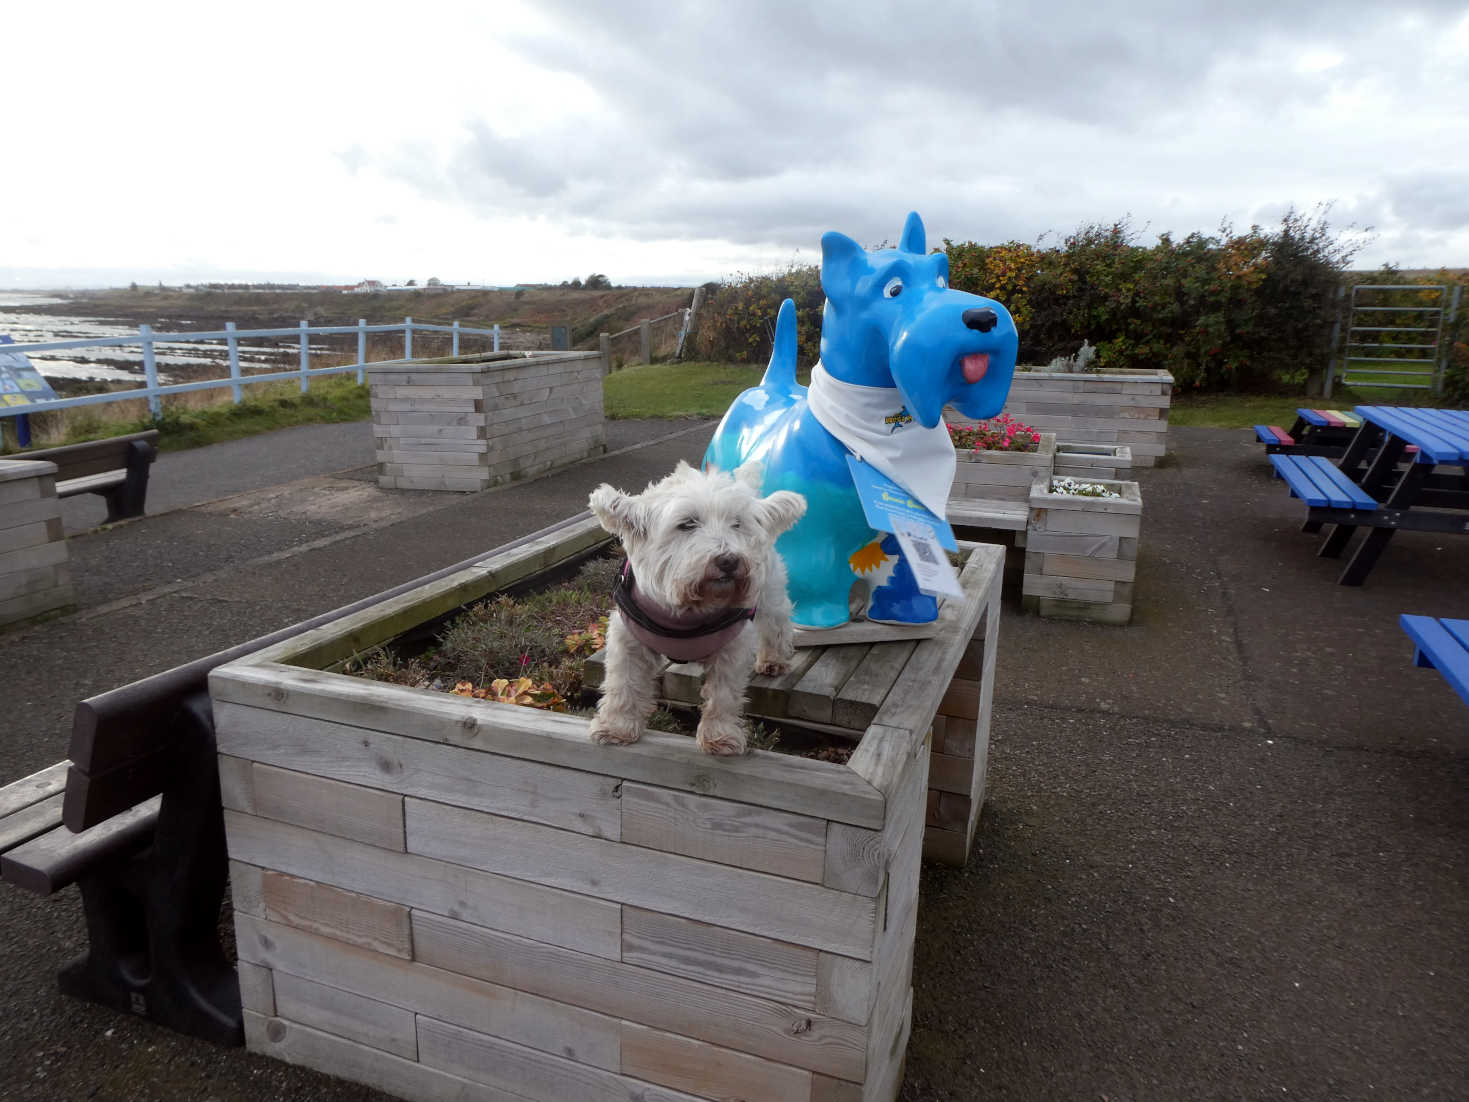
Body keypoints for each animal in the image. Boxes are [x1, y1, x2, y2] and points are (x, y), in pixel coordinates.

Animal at [584, 458, 810, 758]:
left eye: (736, 524)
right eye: (687, 524)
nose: (729, 561)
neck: (686, 611)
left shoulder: (732, 648)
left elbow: (723, 695)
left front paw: (720, 737)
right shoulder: (628, 641)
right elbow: (624, 684)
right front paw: (615, 728)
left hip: (770, 592)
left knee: (777, 624)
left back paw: (774, 660)